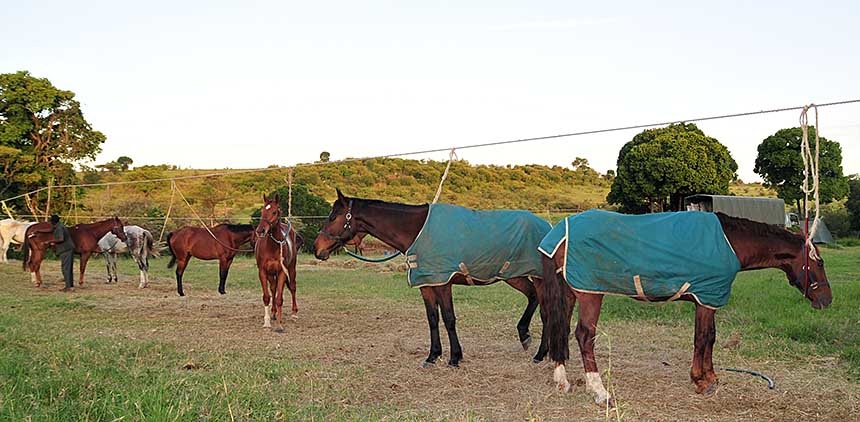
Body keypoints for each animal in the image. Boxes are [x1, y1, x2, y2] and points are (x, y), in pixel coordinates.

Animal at [252, 193, 298, 332]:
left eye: (274, 212)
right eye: (262, 211)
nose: (260, 231)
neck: (271, 246)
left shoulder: (282, 271)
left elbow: (279, 299)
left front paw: (279, 325)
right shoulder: (262, 272)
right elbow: (267, 296)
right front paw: (267, 322)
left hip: (292, 268)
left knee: (292, 287)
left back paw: (294, 313)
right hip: (271, 274)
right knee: (273, 288)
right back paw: (273, 313)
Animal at [314, 190, 552, 368]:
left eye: (333, 216)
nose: (317, 248)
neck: (417, 231)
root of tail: (547, 226)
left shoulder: (443, 283)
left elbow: (448, 318)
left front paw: (455, 357)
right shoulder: (427, 284)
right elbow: (432, 318)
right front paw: (432, 356)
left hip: (536, 277)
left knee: (545, 310)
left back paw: (540, 354)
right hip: (515, 276)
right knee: (534, 299)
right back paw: (528, 338)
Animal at [536, 213, 832, 408]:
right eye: (820, 263)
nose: (827, 300)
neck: (729, 242)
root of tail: (558, 233)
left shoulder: (708, 300)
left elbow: (710, 338)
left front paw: (710, 377)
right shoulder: (706, 298)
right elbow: (703, 338)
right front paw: (701, 381)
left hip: (568, 292)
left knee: (560, 329)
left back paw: (562, 380)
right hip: (590, 295)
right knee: (585, 336)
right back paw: (600, 391)